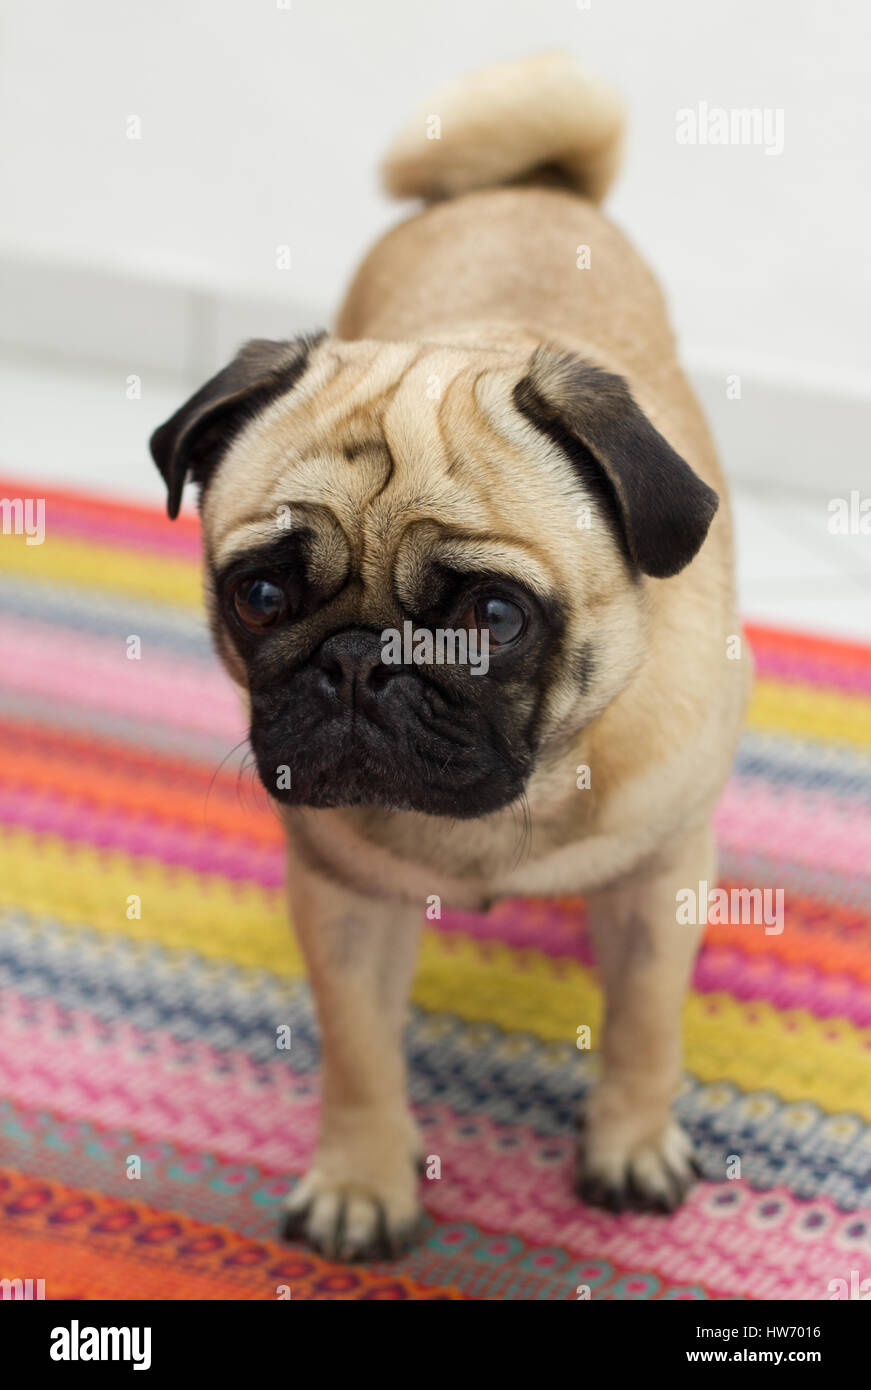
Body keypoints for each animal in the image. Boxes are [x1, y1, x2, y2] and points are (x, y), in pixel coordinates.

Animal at [150, 51, 750, 1262]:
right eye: (260, 594)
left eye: (493, 615)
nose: (357, 663)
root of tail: (525, 180)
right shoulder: (343, 902)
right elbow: (359, 1053)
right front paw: (362, 1180)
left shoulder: (659, 880)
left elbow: (644, 1024)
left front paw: (630, 1143)